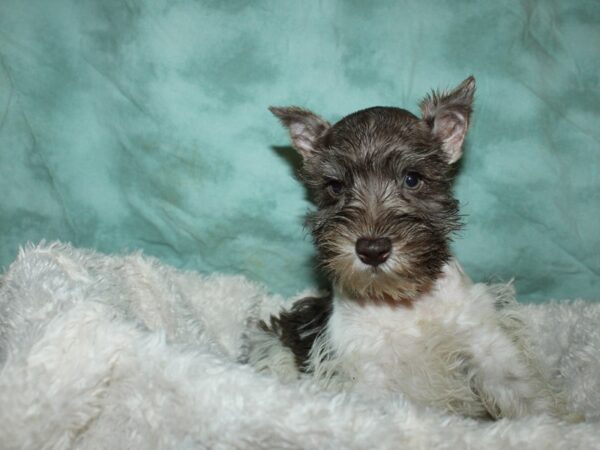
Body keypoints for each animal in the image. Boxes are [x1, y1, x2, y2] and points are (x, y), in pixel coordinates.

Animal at [248, 76, 568, 418]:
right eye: (336, 186)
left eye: (412, 179)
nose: (372, 250)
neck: (402, 300)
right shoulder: (367, 371)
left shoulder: (485, 343)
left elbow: (524, 393)